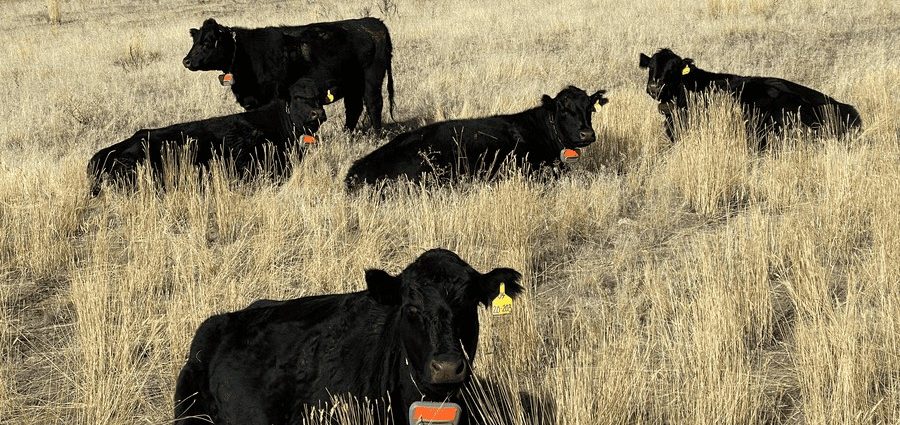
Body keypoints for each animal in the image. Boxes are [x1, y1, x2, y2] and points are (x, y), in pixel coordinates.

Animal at [182, 17, 395, 131]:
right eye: (195, 40)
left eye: (207, 42)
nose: (186, 61)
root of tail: (373, 23)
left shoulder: (271, 96)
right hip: (352, 84)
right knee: (354, 108)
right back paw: (347, 134)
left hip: (371, 79)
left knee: (374, 104)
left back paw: (376, 134)